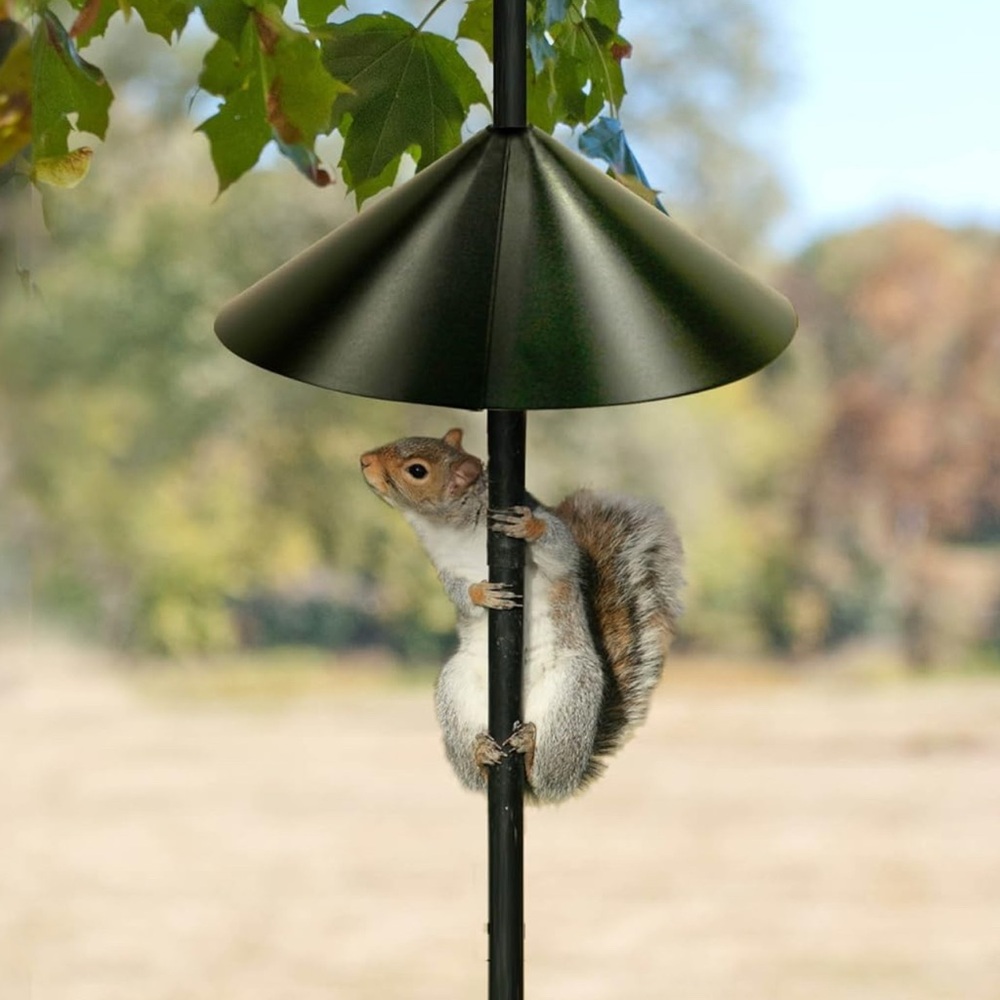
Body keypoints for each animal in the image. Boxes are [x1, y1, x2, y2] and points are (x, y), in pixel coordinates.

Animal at [360, 428, 685, 803]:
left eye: (416, 471)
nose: (364, 460)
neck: (452, 527)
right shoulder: (446, 569)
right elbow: (460, 594)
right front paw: (482, 594)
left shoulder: (556, 548)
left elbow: (562, 551)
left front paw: (529, 527)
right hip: (455, 689)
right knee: (477, 778)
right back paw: (481, 755)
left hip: (571, 694)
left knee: (546, 777)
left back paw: (530, 752)